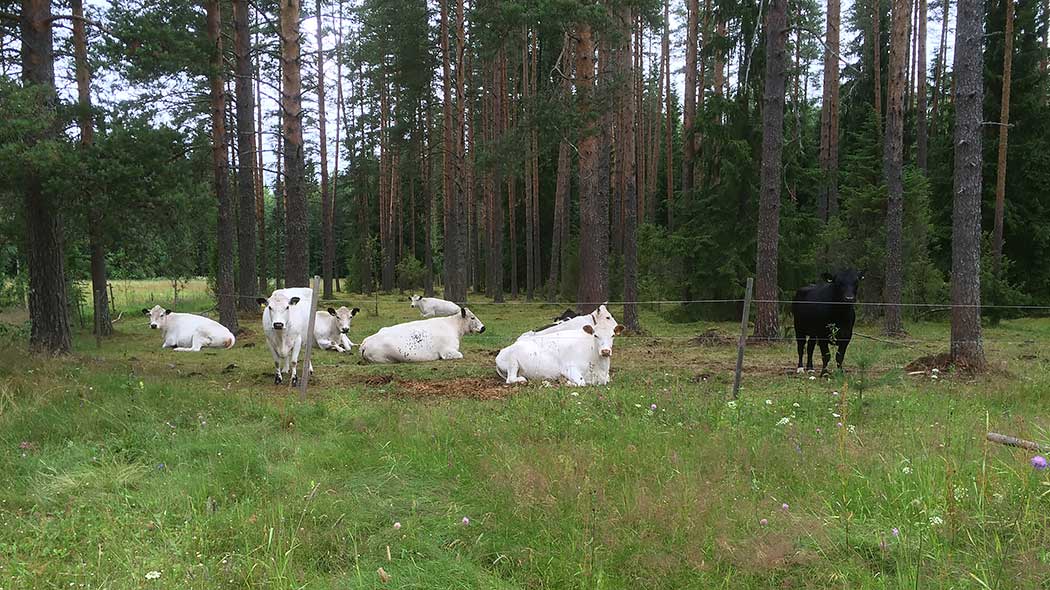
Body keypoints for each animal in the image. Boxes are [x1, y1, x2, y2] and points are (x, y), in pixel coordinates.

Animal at [493, 304, 621, 384]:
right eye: (608, 317)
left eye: (612, 335)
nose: (617, 327)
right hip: (513, 363)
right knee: (510, 379)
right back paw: (522, 379)